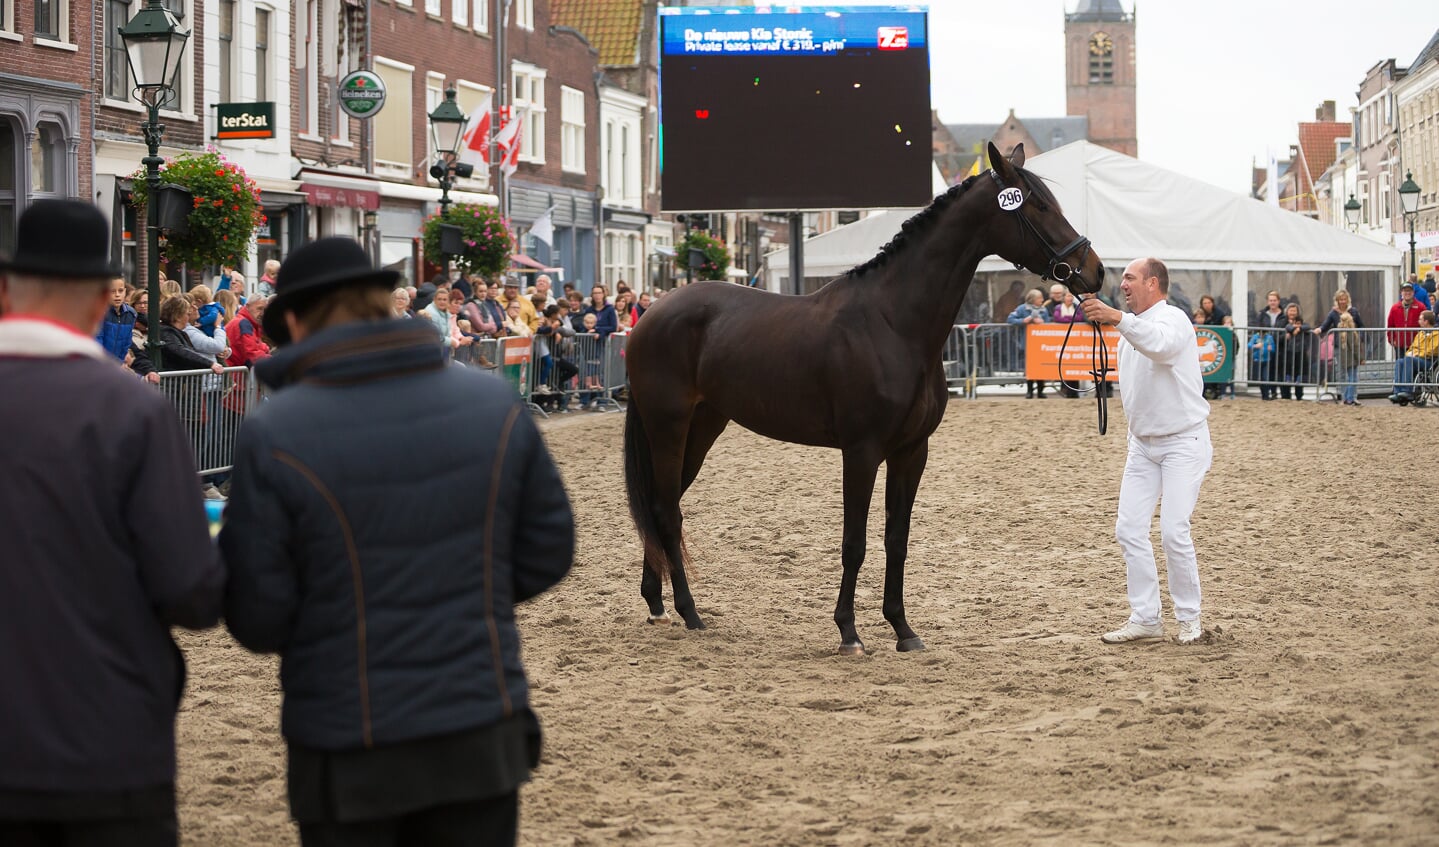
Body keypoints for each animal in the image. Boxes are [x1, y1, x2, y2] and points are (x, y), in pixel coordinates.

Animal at [618, 142, 1099, 652]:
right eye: (1039, 205)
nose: (1094, 271)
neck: (893, 323)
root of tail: (651, 314)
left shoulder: (911, 452)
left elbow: (896, 539)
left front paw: (903, 629)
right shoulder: (862, 451)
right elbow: (855, 542)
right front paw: (849, 632)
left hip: (703, 427)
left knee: (660, 505)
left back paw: (656, 604)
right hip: (668, 427)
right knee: (666, 510)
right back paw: (689, 612)